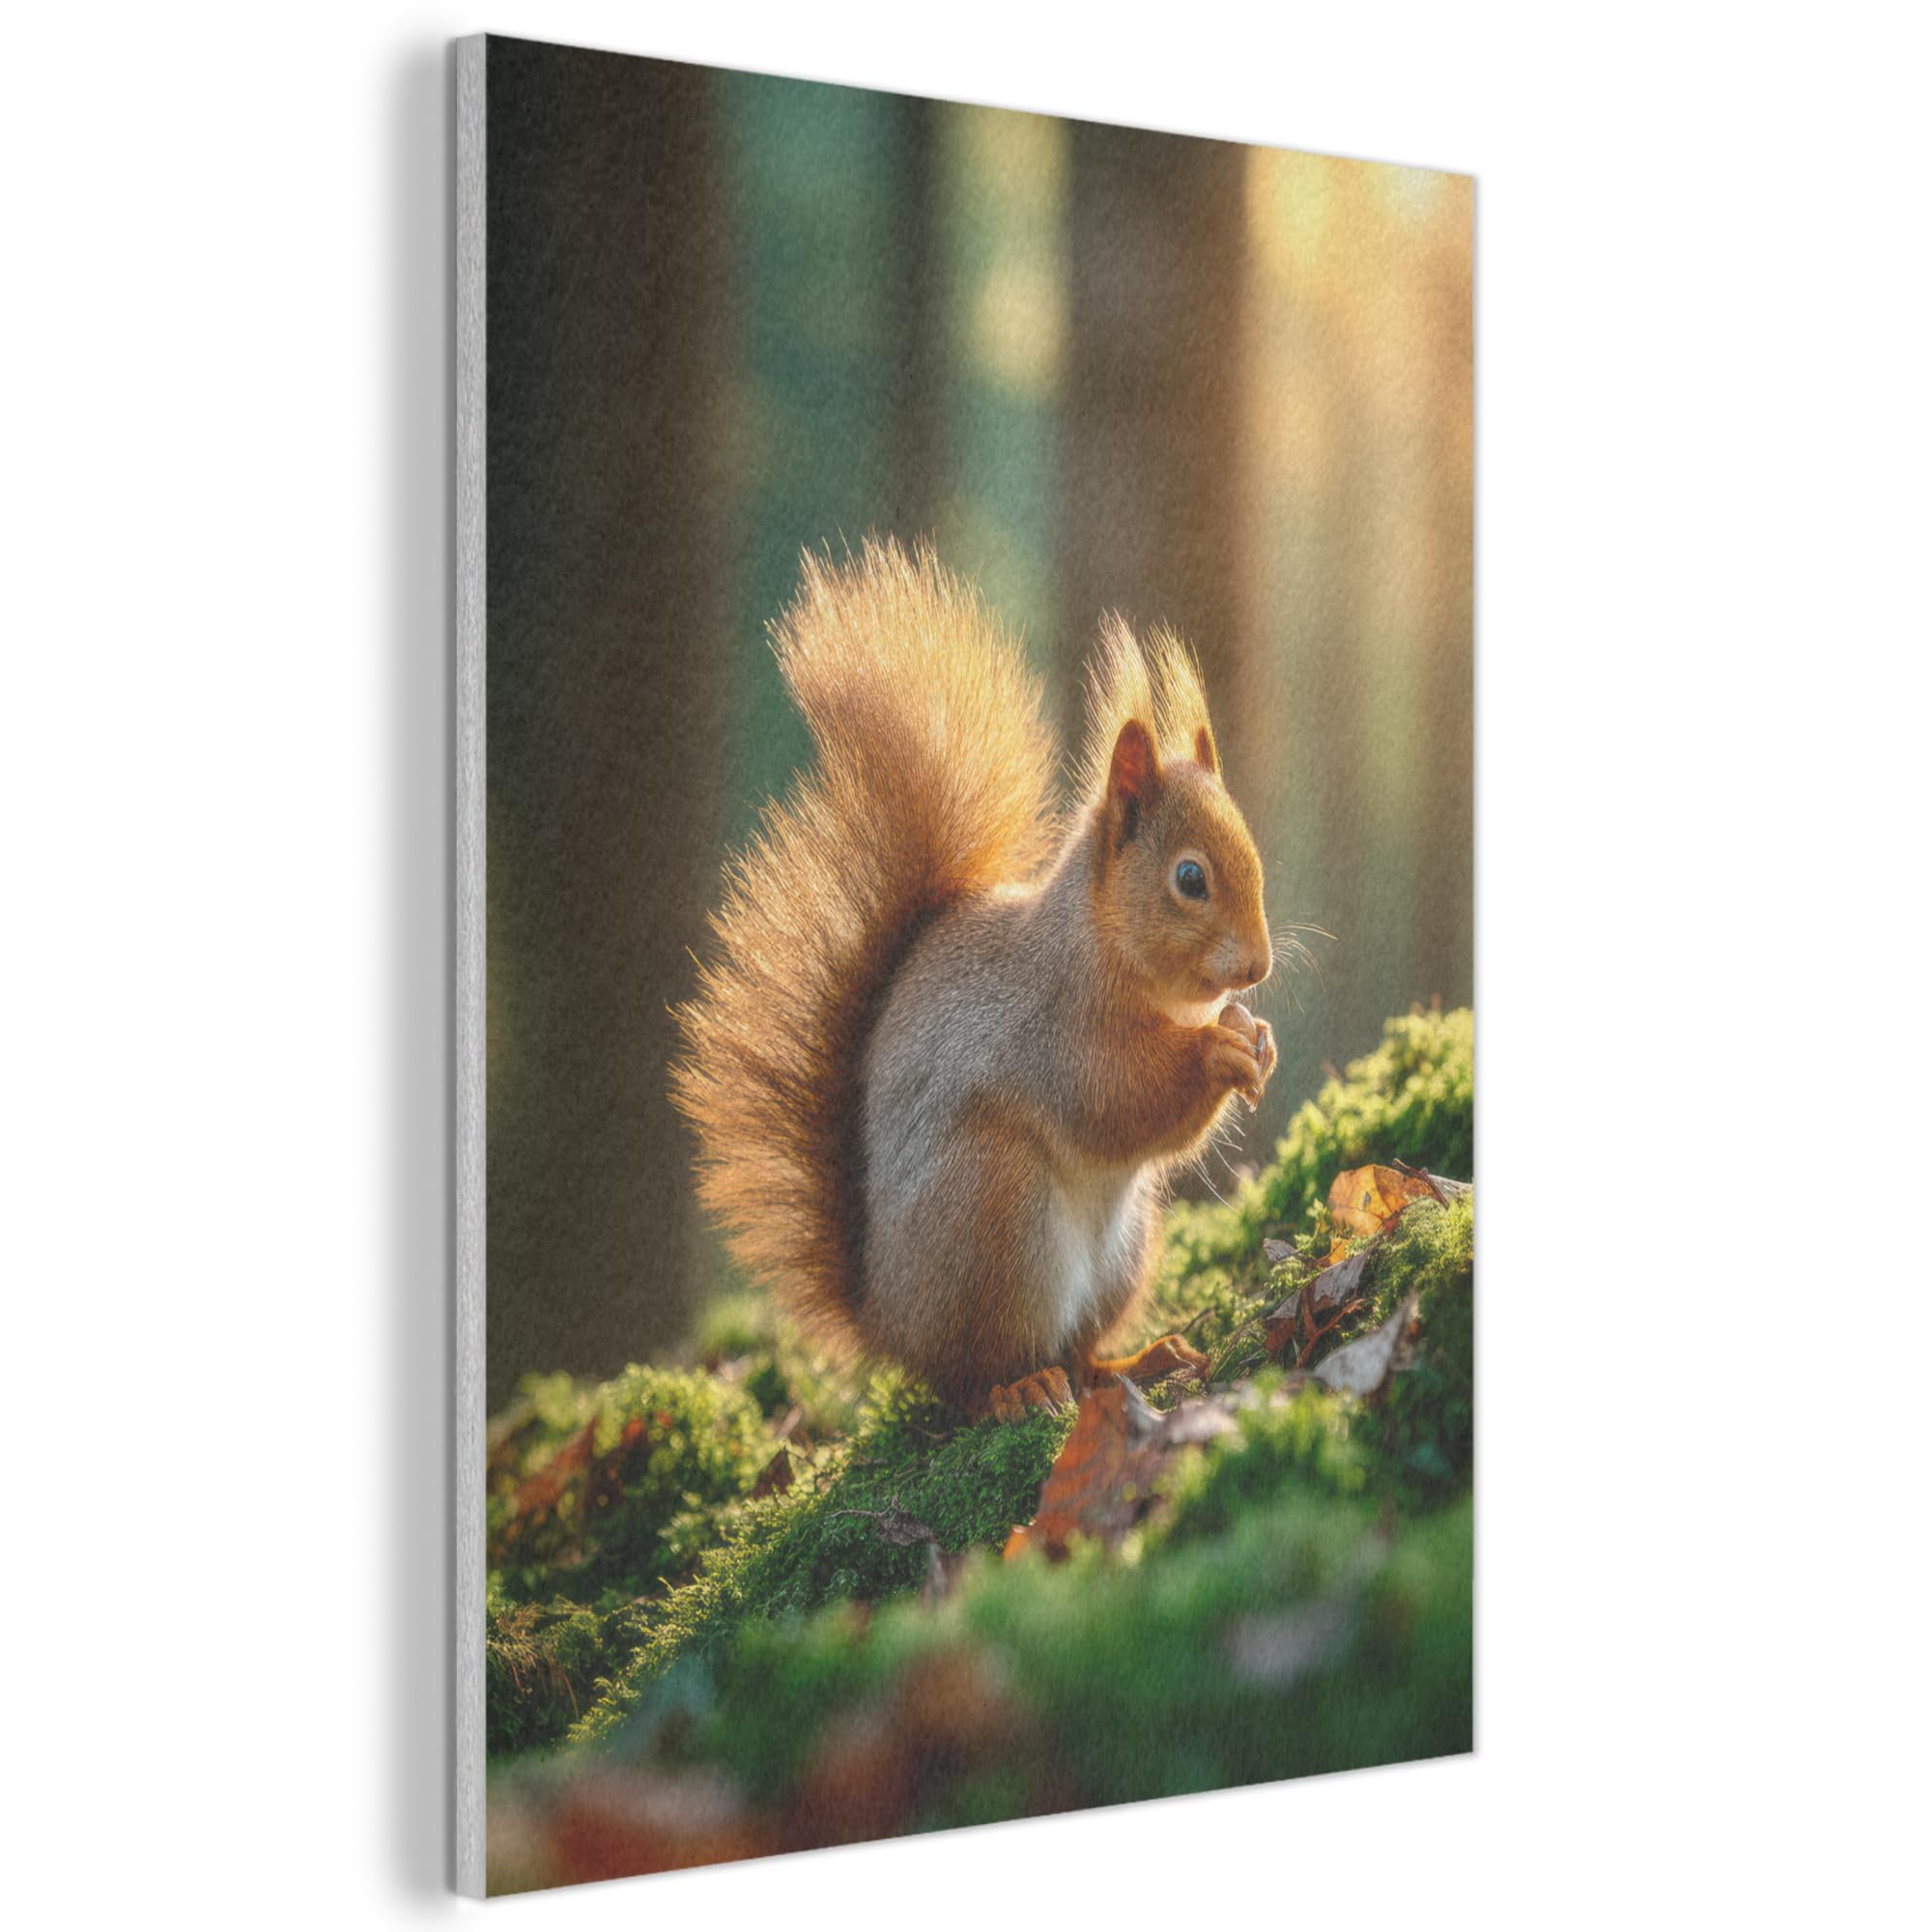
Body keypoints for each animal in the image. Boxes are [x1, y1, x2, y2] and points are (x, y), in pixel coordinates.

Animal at [672, 537, 1276, 1420]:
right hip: (995, 1209)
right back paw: (1018, 1389)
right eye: (1190, 879)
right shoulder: (1052, 1029)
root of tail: (887, 1322)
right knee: (975, 1374)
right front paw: (1218, 1054)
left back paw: (1137, 1360)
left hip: (1123, 1250)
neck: (1104, 950)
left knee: (1080, 1353)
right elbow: (1117, 1100)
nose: (1260, 966)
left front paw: (1255, 1038)